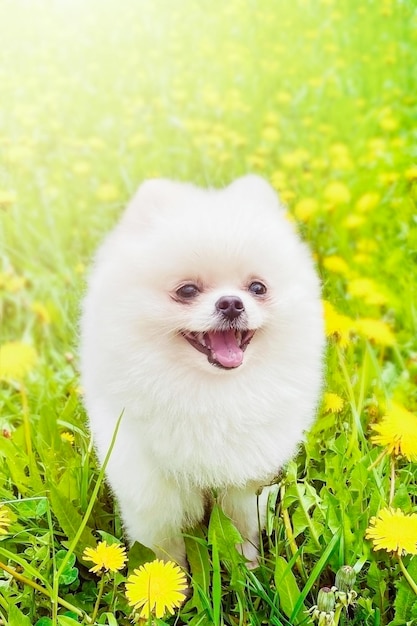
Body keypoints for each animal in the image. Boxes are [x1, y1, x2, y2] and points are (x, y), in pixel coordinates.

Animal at [79, 173, 324, 564]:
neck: (210, 390)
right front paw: (164, 577)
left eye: (258, 287)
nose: (232, 303)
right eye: (187, 290)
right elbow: (161, 541)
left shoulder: (244, 473)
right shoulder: (149, 482)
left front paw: (247, 564)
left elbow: (240, 523)